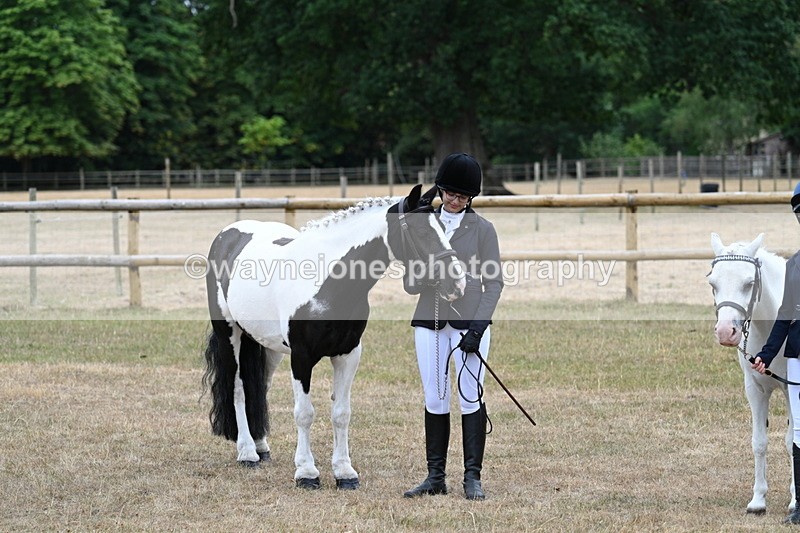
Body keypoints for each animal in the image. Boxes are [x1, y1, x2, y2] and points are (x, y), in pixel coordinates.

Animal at [201, 184, 466, 489]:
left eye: (442, 228)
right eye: (421, 231)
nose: (457, 284)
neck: (328, 283)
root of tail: (228, 235)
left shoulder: (348, 354)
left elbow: (341, 413)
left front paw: (344, 472)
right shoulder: (302, 358)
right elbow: (304, 413)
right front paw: (307, 472)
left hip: (268, 346)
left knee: (260, 388)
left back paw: (261, 447)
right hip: (230, 334)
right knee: (238, 387)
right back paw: (246, 453)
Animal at [708, 232, 795, 513]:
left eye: (749, 283)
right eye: (712, 283)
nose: (726, 332)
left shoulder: (791, 389)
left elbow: (792, 440)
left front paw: (794, 501)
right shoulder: (755, 389)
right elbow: (759, 442)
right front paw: (758, 500)